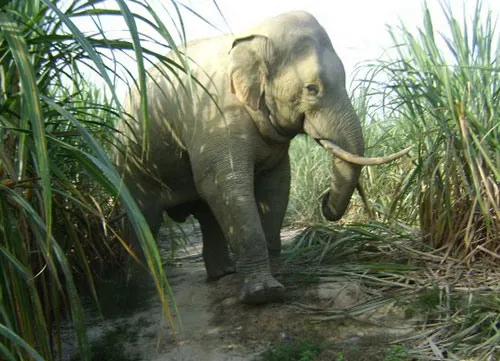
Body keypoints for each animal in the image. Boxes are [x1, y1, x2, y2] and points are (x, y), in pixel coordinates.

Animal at [116, 10, 406, 304]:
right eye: (312, 89)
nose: (323, 200)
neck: (248, 38)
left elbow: (276, 186)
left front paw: (279, 273)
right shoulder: (216, 118)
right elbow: (226, 185)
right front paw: (264, 294)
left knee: (206, 214)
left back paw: (223, 273)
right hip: (129, 161)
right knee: (143, 216)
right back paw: (142, 291)